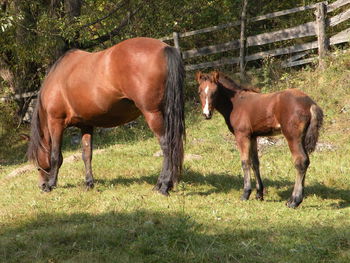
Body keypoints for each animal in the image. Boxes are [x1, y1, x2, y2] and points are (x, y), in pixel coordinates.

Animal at [27, 37, 186, 196]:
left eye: (37, 164)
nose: (41, 185)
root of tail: (165, 48)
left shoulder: (56, 122)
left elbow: (55, 156)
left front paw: (51, 185)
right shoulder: (86, 125)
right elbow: (87, 154)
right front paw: (89, 183)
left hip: (152, 114)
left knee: (167, 145)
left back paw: (163, 186)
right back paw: (166, 184)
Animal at [194, 70, 322, 208]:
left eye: (215, 92)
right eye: (200, 91)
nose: (207, 114)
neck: (236, 103)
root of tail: (310, 103)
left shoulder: (242, 135)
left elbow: (245, 162)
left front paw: (246, 193)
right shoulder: (253, 136)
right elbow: (255, 162)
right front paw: (259, 194)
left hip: (292, 137)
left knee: (300, 161)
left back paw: (294, 201)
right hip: (301, 137)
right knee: (306, 161)